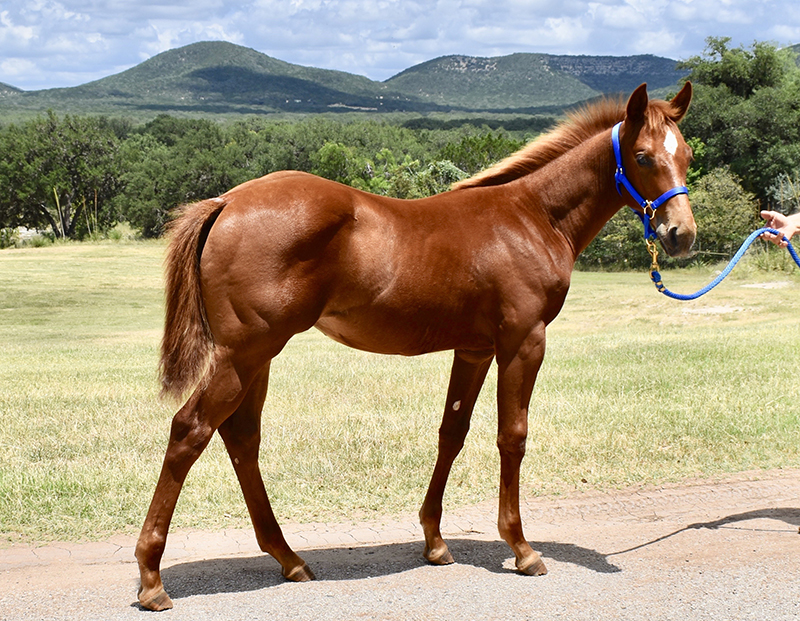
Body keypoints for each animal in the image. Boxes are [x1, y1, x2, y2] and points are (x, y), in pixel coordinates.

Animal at [136, 80, 692, 608]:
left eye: (685, 154)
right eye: (643, 156)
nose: (680, 234)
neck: (532, 216)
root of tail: (227, 201)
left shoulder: (474, 350)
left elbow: (452, 432)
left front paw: (435, 542)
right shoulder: (523, 342)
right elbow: (511, 436)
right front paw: (521, 548)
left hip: (258, 357)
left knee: (241, 438)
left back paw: (288, 558)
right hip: (244, 353)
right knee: (190, 431)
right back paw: (151, 578)